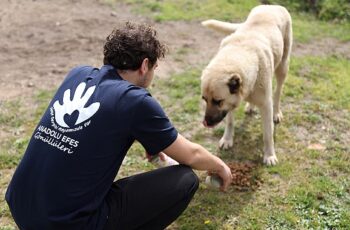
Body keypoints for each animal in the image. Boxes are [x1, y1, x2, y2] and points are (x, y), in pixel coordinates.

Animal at [200, 4, 292, 165]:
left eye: (218, 101)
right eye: (204, 99)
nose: (205, 123)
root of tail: (272, 5)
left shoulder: (265, 106)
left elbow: (268, 134)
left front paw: (269, 155)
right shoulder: (230, 104)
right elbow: (230, 122)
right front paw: (227, 139)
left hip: (283, 67)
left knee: (278, 92)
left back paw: (276, 113)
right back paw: (250, 106)